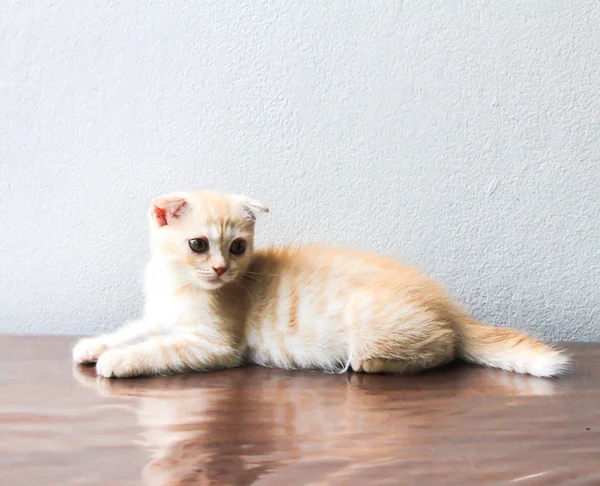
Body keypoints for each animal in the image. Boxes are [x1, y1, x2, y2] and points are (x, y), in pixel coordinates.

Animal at [72, 191, 568, 380]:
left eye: (237, 247)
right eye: (198, 244)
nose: (220, 269)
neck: (177, 285)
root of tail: (449, 305)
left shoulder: (215, 345)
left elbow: (160, 348)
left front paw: (118, 361)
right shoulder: (160, 316)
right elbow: (133, 329)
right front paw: (93, 345)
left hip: (369, 322)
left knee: (444, 349)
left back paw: (372, 365)